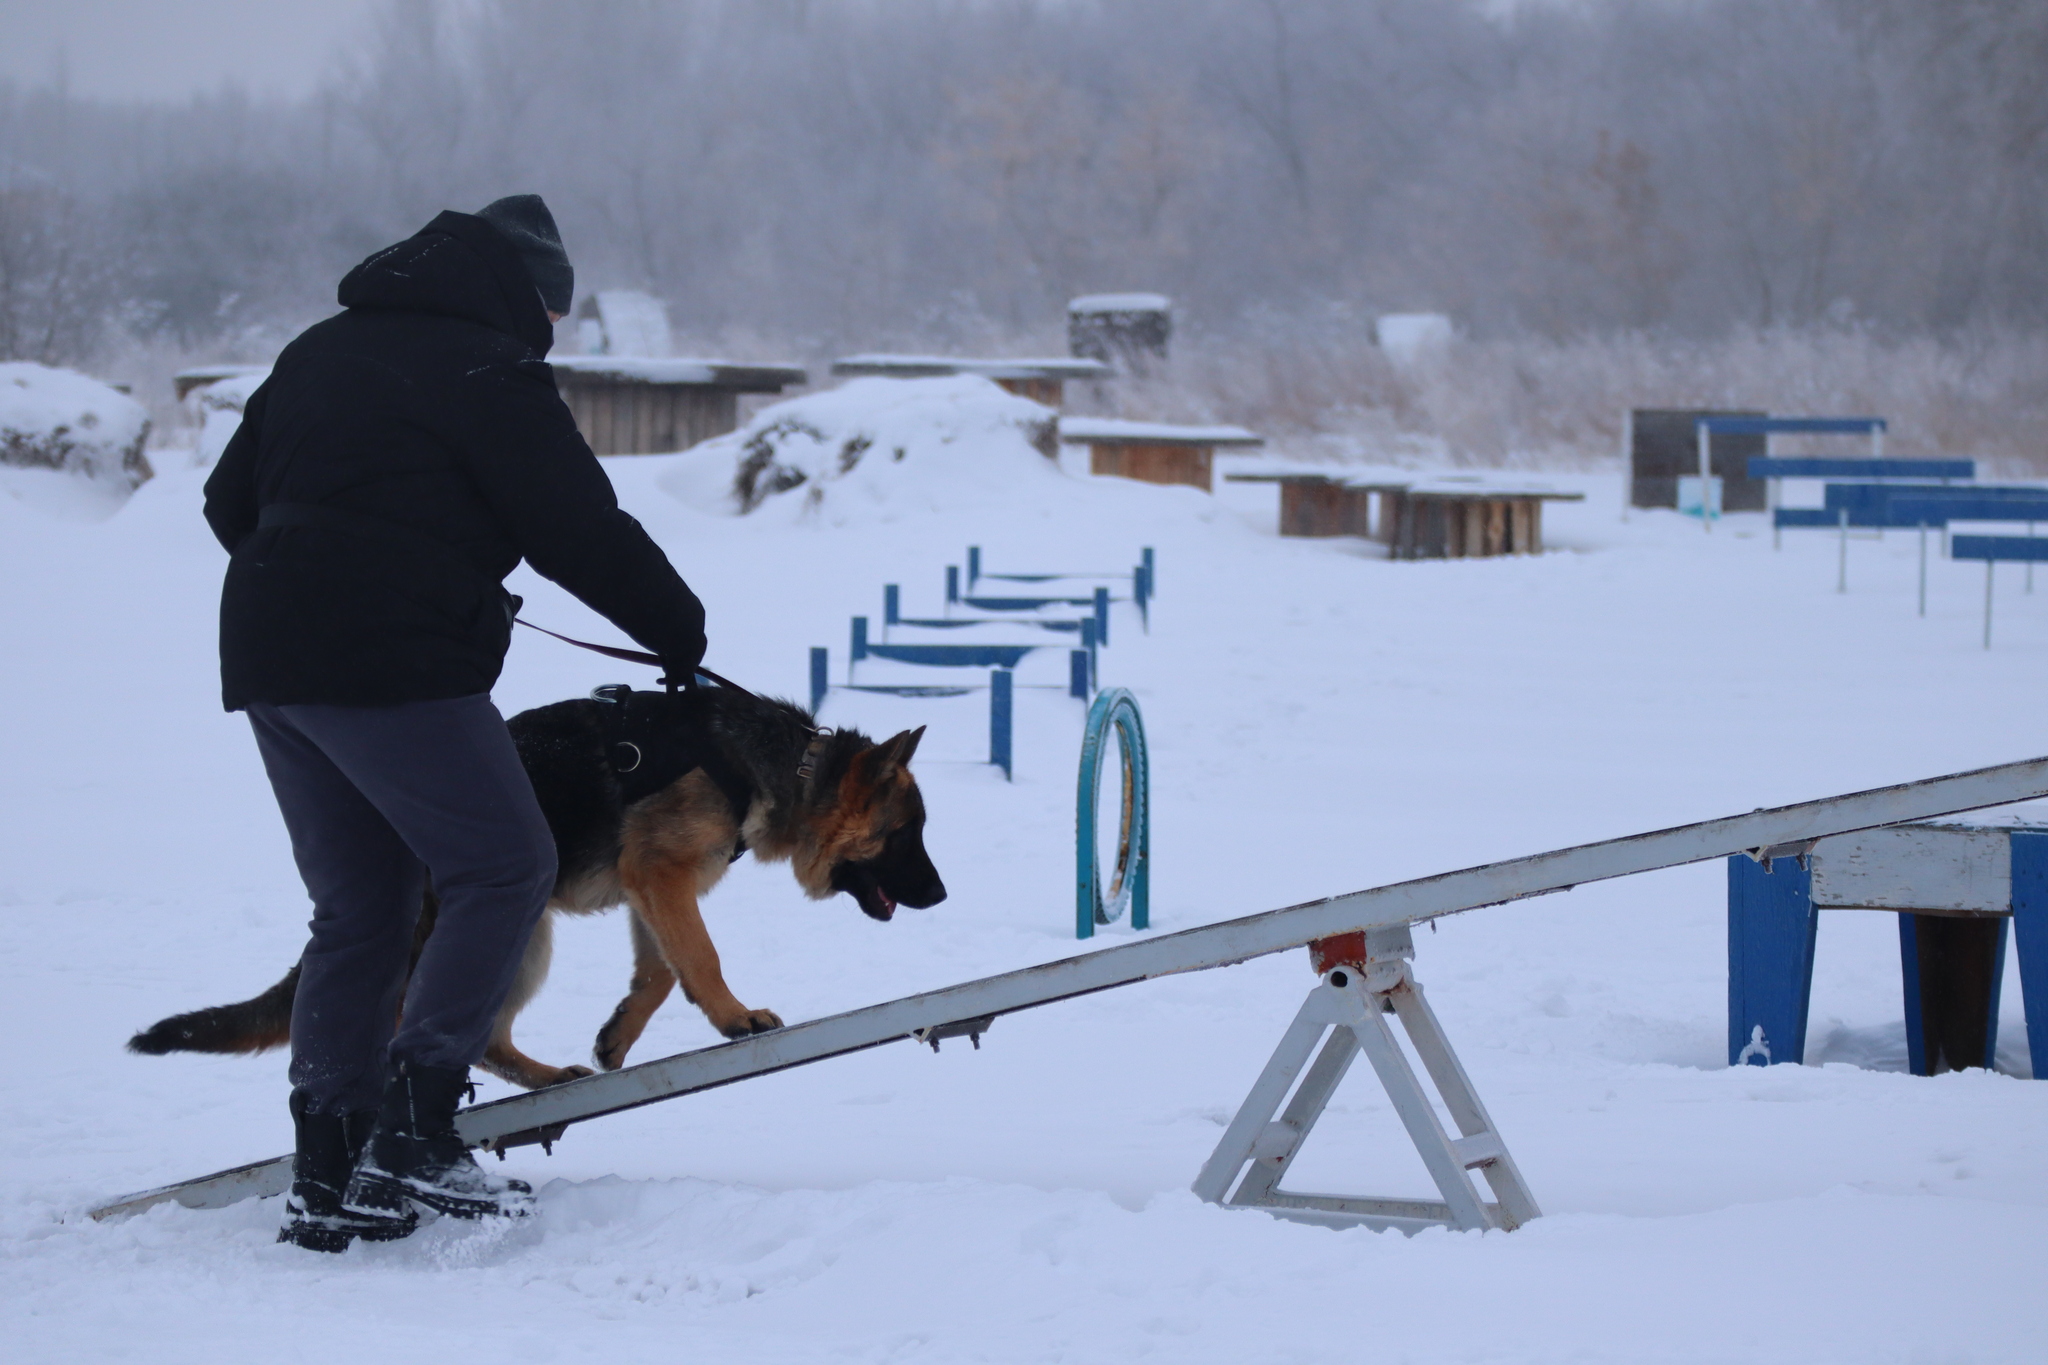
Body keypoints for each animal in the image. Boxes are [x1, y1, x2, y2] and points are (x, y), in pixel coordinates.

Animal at [132, 687, 946, 1096]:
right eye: (906, 833)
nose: (942, 896)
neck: (786, 767)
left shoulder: (649, 888)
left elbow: (658, 973)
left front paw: (620, 1034)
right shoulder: (662, 875)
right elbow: (701, 957)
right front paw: (735, 1017)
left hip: (522, 934)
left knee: (481, 1038)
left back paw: (544, 1076)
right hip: (504, 932)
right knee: (411, 1030)